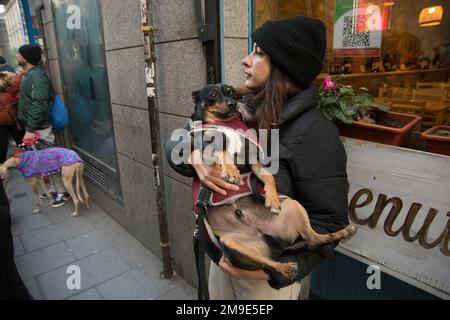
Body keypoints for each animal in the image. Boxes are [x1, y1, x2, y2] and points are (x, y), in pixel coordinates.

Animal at [190, 84, 356, 282]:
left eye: (231, 92)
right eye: (213, 94)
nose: (232, 103)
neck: (226, 124)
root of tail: (275, 244)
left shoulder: (253, 158)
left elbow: (269, 177)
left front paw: (273, 199)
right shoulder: (203, 145)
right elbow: (221, 149)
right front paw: (231, 171)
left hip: (293, 206)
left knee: (311, 240)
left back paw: (342, 233)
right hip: (230, 244)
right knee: (271, 262)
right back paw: (286, 268)